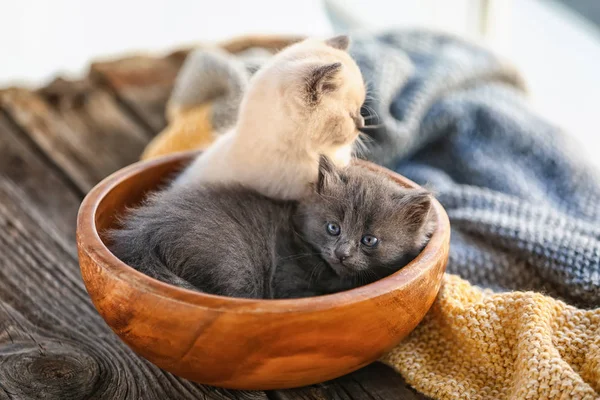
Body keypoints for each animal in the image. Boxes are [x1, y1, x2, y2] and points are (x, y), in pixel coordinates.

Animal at [110, 158, 434, 298]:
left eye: (369, 240)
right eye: (333, 228)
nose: (342, 253)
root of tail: (142, 232)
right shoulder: (287, 284)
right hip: (234, 263)